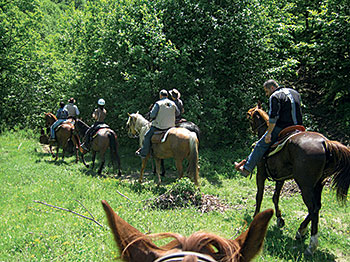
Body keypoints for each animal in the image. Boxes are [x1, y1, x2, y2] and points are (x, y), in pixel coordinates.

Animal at [245, 103, 350, 255]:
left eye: (250, 118)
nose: (251, 129)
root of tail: (324, 142)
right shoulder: (280, 178)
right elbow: (275, 197)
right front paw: (279, 219)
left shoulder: (261, 173)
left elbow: (259, 195)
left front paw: (255, 216)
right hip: (319, 184)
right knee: (317, 207)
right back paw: (301, 231)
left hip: (305, 186)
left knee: (313, 209)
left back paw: (311, 245)